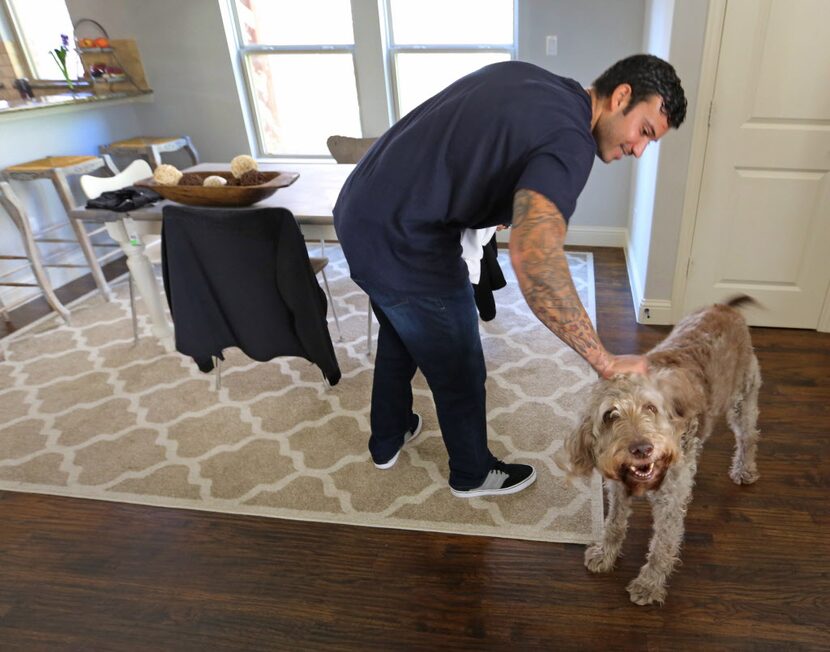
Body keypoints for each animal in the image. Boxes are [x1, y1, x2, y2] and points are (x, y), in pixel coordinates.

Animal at [564, 296, 760, 608]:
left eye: (650, 408)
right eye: (610, 415)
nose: (642, 448)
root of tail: (724, 307)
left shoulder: (670, 502)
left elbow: (662, 547)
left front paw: (648, 585)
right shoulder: (618, 489)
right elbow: (614, 524)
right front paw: (605, 554)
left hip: (743, 398)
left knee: (748, 436)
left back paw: (744, 468)